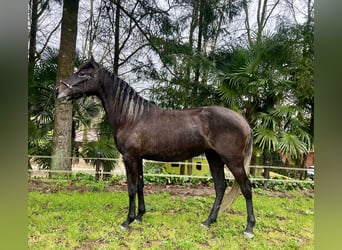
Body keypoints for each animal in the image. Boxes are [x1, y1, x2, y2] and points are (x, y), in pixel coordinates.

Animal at [55, 57, 254, 238]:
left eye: (82, 74)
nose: (59, 91)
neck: (131, 116)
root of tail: (244, 122)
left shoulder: (129, 158)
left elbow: (131, 188)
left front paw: (127, 221)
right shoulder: (139, 158)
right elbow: (140, 185)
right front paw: (140, 217)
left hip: (233, 161)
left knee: (246, 188)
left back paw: (249, 229)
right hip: (214, 158)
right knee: (220, 187)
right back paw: (208, 221)